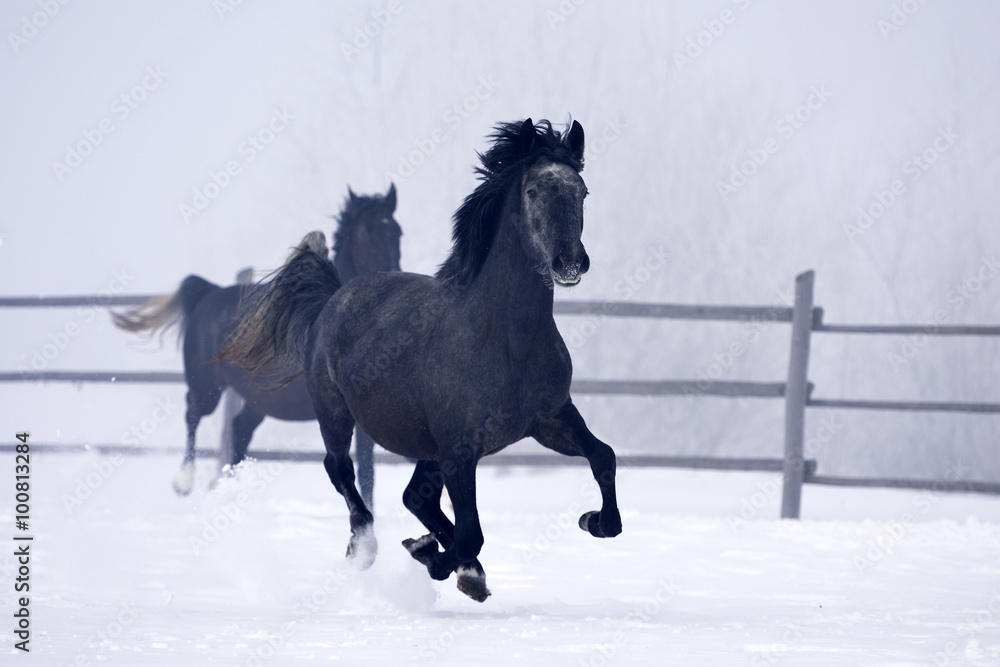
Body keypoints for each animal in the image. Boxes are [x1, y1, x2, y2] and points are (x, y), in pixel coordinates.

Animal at [111, 185, 400, 498]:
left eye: (397, 231)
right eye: (365, 233)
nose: (392, 279)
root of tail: (209, 293)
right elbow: (366, 472)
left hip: (259, 399)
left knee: (239, 431)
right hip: (207, 387)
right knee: (193, 413)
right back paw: (184, 482)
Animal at [223, 117, 620, 604]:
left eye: (582, 191)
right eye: (531, 192)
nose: (569, 264)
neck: (506, 341)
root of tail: (334, 297)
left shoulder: (550, 419)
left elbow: (603, 458)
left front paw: (593, 520)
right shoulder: (459, 449)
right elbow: (470, 533)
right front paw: (441, 561)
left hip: (425, 443)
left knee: (415, 497)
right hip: (335, 413)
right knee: (342, 471)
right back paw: (369, 548)